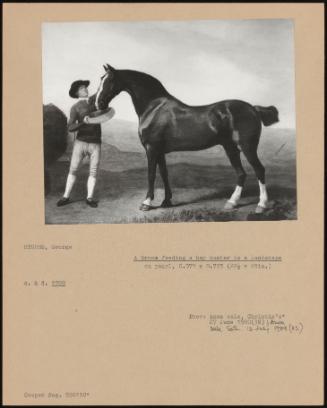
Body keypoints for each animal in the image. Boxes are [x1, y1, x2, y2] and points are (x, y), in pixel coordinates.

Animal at [95, 63, 280, 214]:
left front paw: (146, 203)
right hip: (230, 148)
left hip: (247, 147)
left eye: (109, 81)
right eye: (101, 79)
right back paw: (231, 203)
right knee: (241, 173)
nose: (98, 104)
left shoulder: (151, 148)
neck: (154, 107)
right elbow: (164, 173)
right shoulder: (160, 151)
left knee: (259, 170)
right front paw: (167, 201)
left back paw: (261, 205)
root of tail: (253, 108)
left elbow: (151, 174)